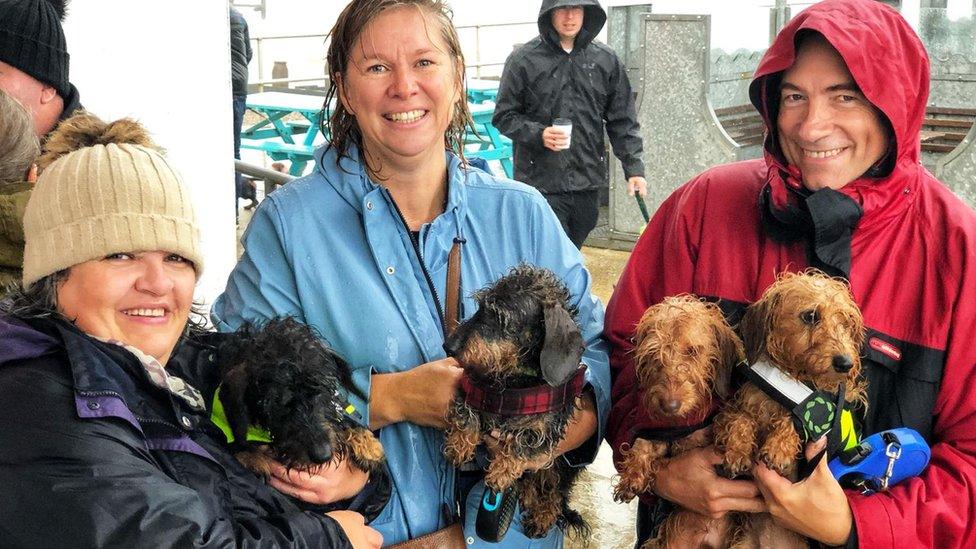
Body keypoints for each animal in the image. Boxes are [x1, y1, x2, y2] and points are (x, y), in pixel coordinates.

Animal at [612, 298, 744, 544]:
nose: (669, 406)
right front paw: (632, 476)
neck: (683, 421)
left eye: (693, 351)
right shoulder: (664, 435)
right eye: (655, 354)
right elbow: (642, 443)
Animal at [712, 270, 864, 548]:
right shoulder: (733, 408)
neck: (792, 380)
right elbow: (740, 420)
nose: (846, 363)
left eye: (846, 322)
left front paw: (777, 447)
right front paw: (737, 451)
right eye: (811, 316)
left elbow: (794, 422)